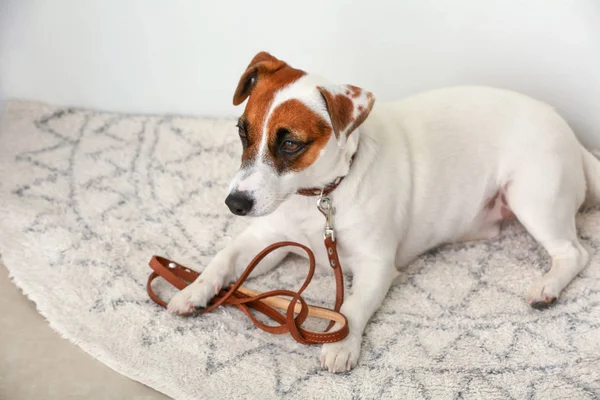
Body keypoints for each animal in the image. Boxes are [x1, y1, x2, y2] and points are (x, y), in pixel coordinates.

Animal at [168, 50, 600, 372]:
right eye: (243, 131)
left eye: (290, 144)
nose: (235, 204)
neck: (318, 197)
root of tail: (570, 133)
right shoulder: (265, 241)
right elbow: (223, 261)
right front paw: (193, 289)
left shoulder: (376, 264)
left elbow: (353, 306)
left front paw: (341, 344)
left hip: (533, 199)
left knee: (574, 253)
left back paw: (548, 287)